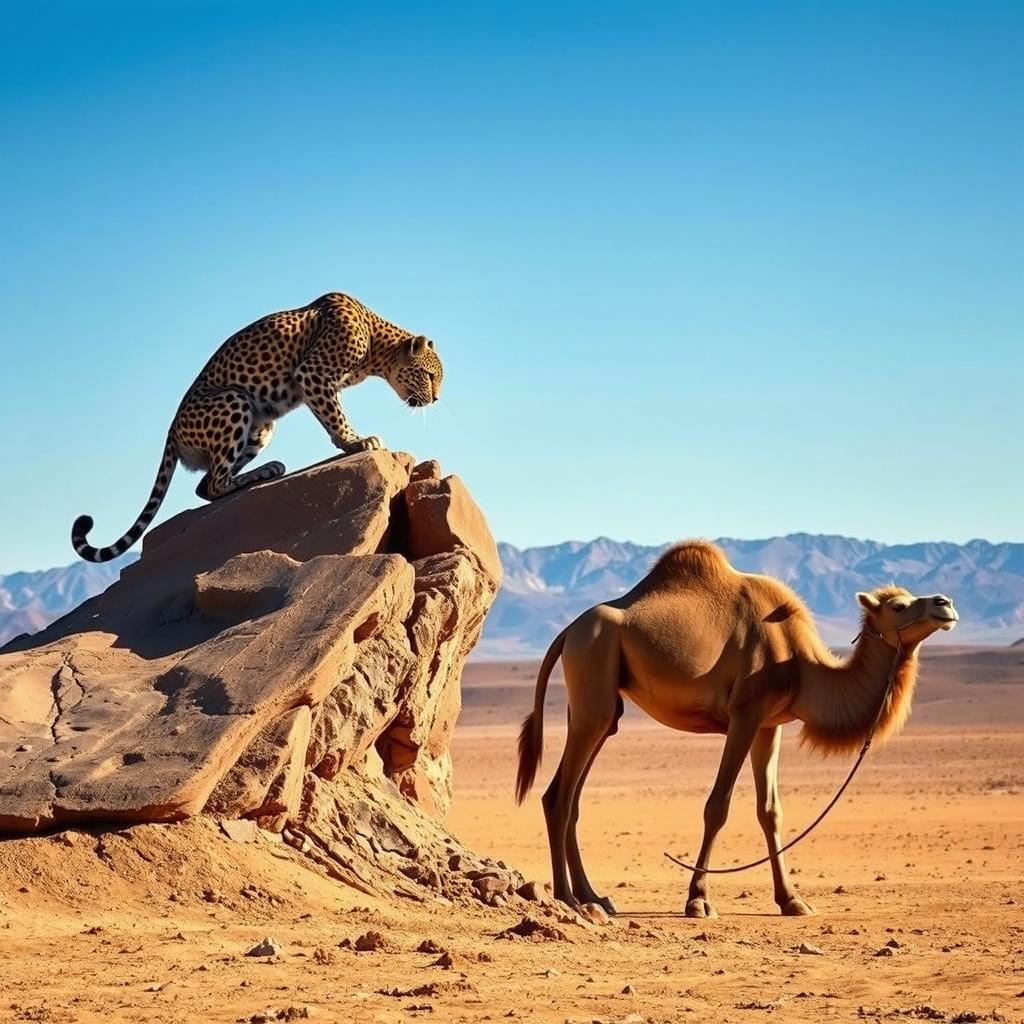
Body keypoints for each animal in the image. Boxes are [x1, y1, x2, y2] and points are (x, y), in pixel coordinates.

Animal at [71, 290, 440, 561]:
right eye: (430, 374)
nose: (435, 399)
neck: (377, 347)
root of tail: (171, 432)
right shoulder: (314, 374)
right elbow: (335, 415)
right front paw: (356, 441)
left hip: (261, 427)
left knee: (205, 486)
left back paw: (264, 472)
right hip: (236, 400)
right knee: (215, 482)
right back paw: (262, 473)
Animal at [516, 540, 954, 917]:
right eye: (899, 606)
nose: (945, 604)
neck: (800, 662)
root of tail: (568, 630)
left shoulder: (770, 724)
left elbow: (770, 811)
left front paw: (792, 901)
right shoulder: (745, 712)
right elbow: (718, 806)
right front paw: (698, 901)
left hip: (599, 704)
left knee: (573, 795)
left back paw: (595, 896)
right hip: (593, 669)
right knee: (559, 797)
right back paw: (571, 900)